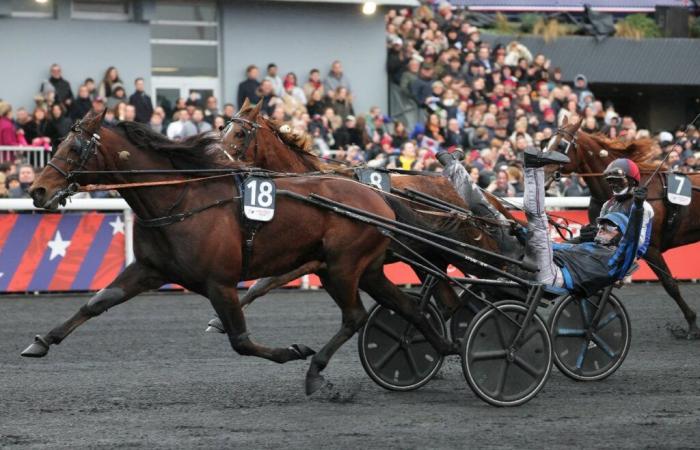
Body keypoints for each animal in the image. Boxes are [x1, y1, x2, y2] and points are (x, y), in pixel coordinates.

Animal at [23, 110, 460, 394]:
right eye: (58, 142)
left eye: (76, 148)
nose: (37, 190)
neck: (179, 199)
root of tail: (378, 198)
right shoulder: (150, 268)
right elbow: (97, 302)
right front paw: (41, 341)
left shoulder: (219, 281)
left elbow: (241, 340)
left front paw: (292, 351)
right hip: (363, 268)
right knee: (407, 306)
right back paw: (442, 346)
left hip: (342, 267)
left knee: (356, 316)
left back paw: (317, 374)